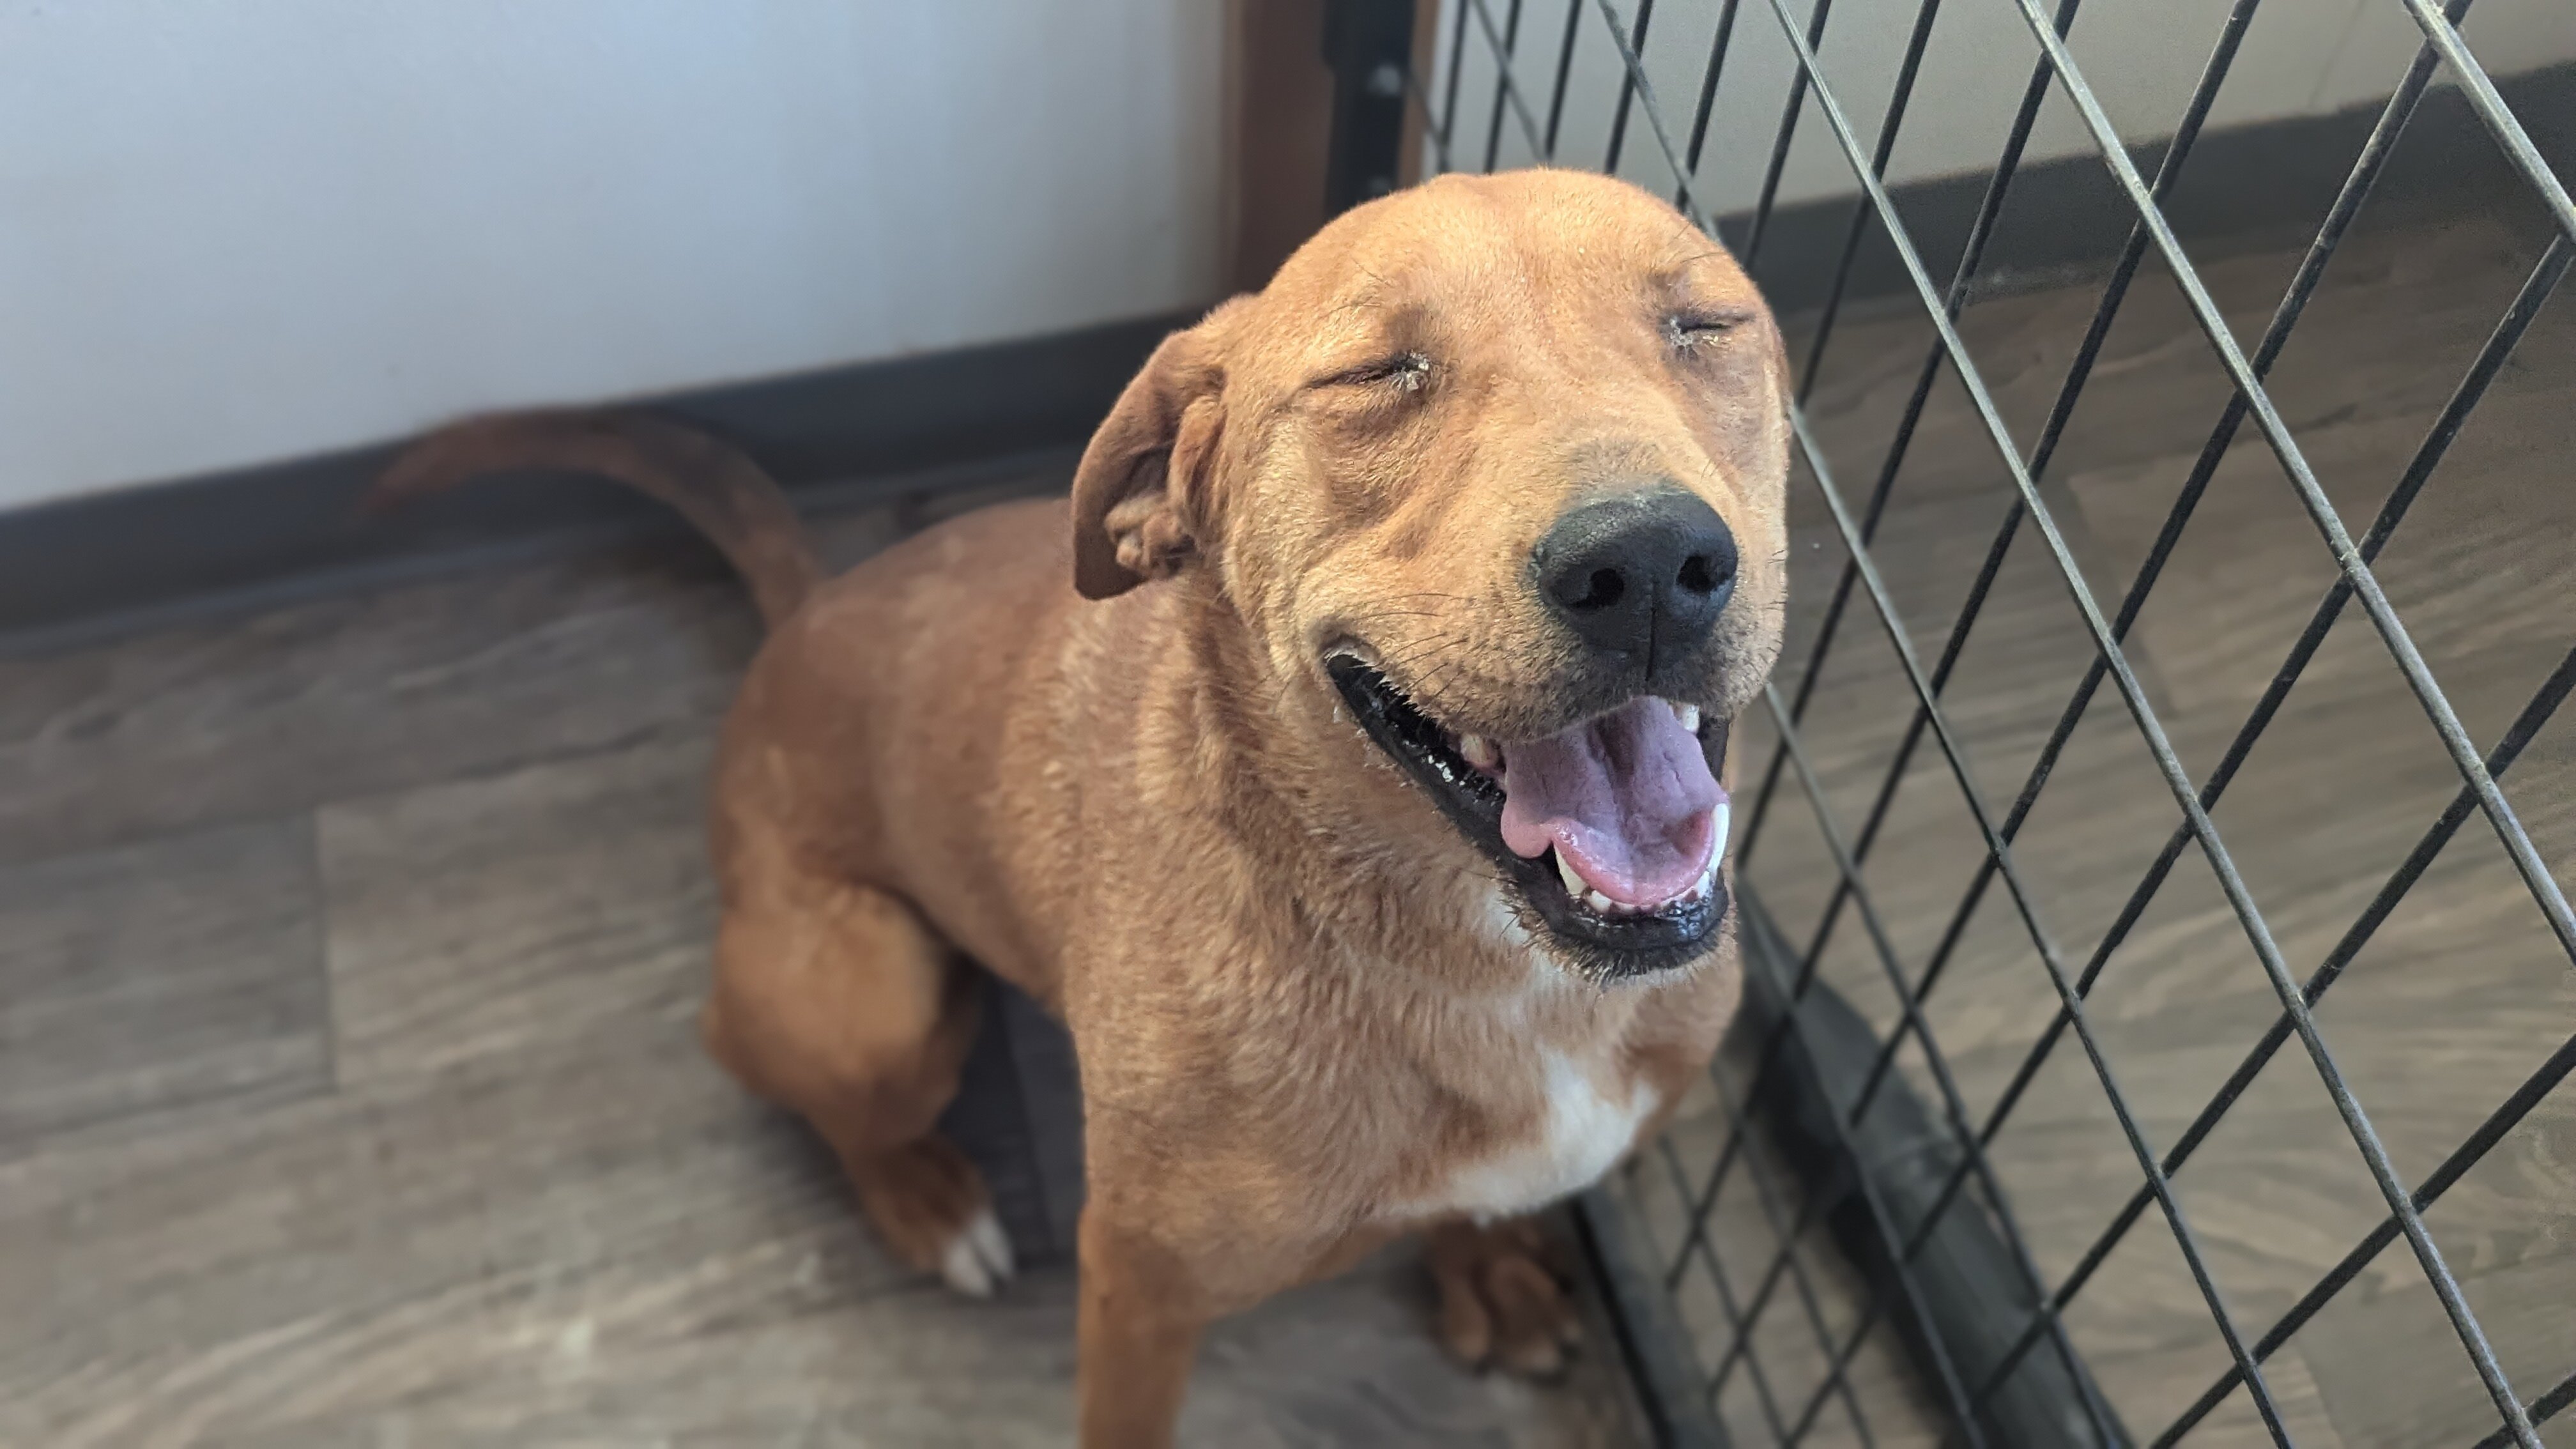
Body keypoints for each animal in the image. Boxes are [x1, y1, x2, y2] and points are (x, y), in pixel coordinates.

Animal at [386, 166, 1793, 1433]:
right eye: (1376, 374)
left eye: (1704, 325)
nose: (1649, 561)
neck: (1500, 977)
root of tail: (805, 613)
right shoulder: (1136, 1285)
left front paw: (1485, 1260)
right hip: (873, 1001)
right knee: (759, 1053)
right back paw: (926, 1200)